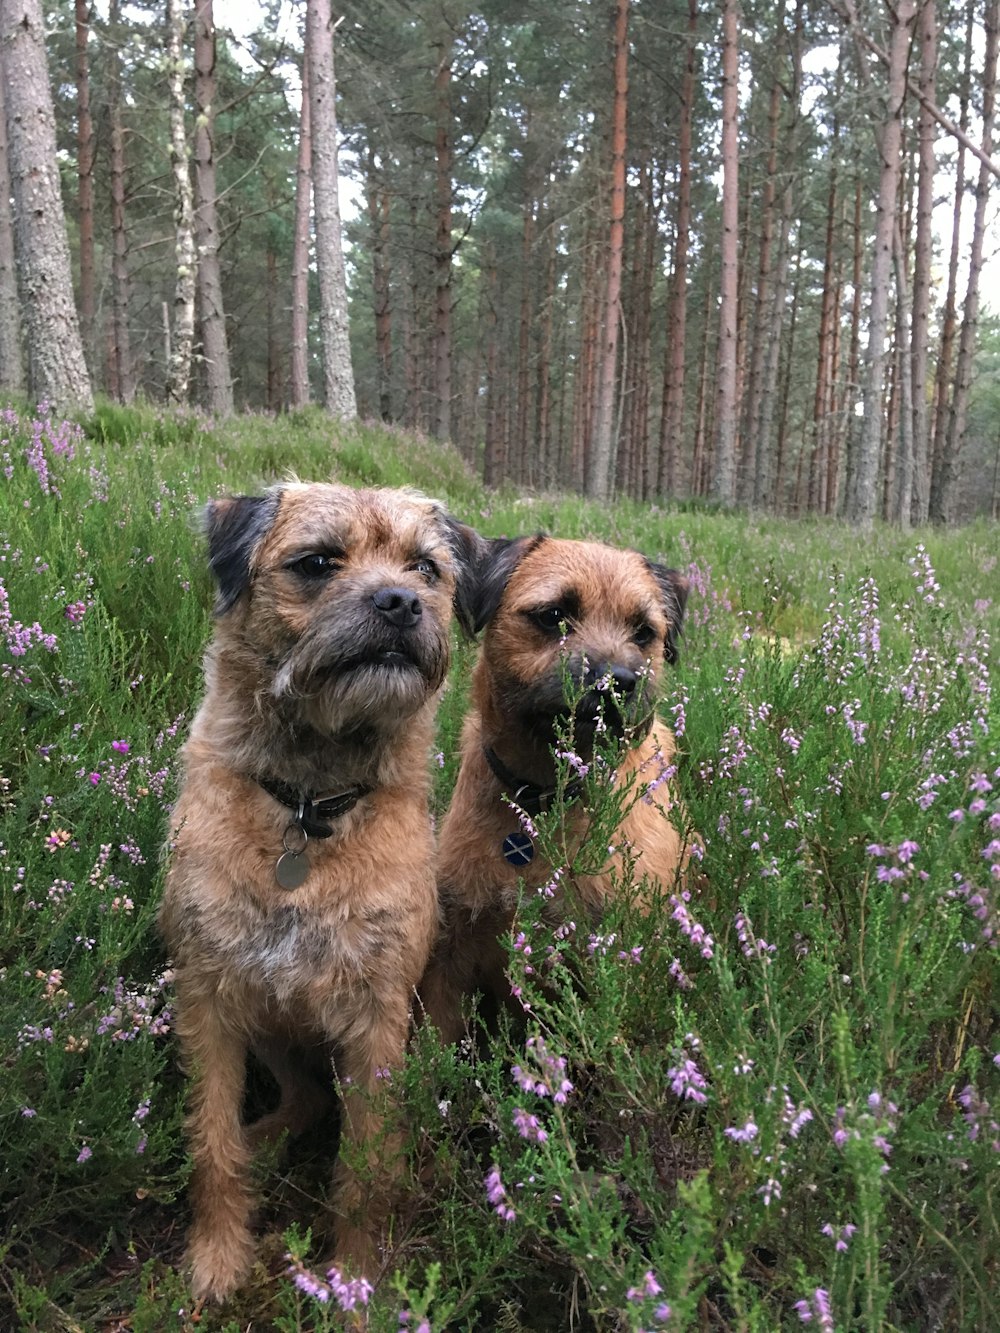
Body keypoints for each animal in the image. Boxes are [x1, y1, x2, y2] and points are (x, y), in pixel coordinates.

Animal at [160, 482, 482, 1301]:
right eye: (316, 563)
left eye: (425, 568)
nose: (400, 602)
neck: (309, 806)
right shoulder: (209, 999)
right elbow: (210, 1140)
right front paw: (217, 1258)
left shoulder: (375, 1025)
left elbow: (365, 1172)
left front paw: (359, 1283)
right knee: (298, 1100)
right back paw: (261, 1141)